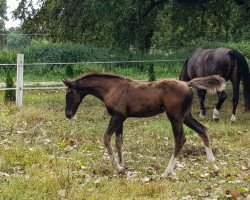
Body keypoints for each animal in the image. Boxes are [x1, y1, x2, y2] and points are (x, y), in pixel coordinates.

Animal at [62, 72, 225, 178]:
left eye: (69, 94)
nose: (68, 114)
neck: (112, 88)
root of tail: (187, 83)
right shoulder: (121, 118)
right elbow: (119, 141)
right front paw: (123, 167)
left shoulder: (117, 116)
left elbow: (107, 138)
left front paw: (118, 168)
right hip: (186, 116)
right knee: (202, 130)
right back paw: (215, 167)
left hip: (175, 116)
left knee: (180, 139)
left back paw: (166, 173)